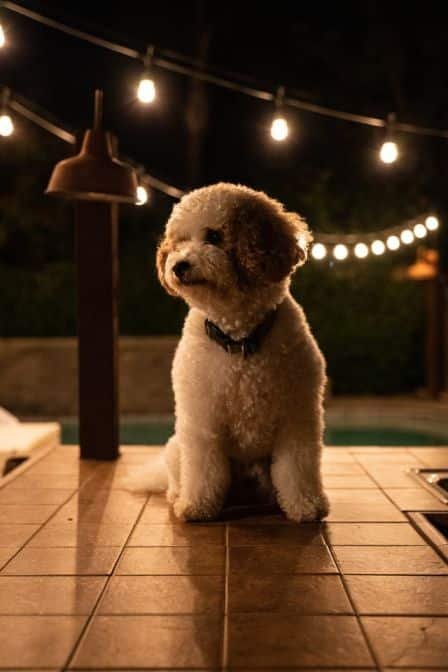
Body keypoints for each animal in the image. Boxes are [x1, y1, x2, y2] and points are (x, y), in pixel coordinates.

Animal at [136, 184, 328, 524]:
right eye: (179, 241)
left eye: (214, 236)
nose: (178, 266)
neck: (240, 340)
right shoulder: (201, 420)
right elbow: (203, 469)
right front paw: (196, 506)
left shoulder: (298, 418)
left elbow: (297, 468)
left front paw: (306, 505)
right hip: (175, 447)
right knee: (178, 476)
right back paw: (177, 495)